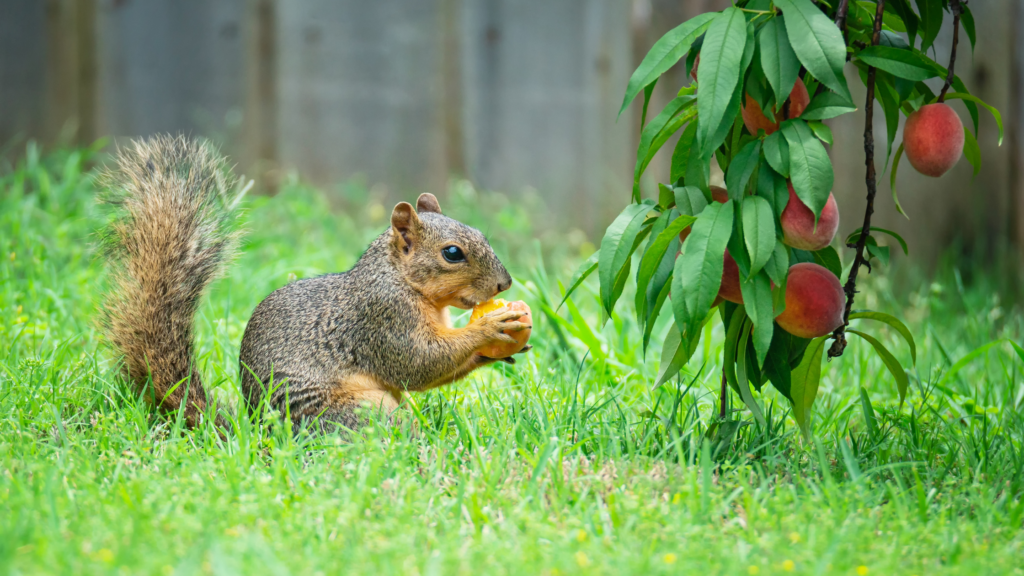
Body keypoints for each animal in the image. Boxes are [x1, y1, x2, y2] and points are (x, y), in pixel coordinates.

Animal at [97, 134, 528, 430]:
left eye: (481, 233)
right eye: (452, 253)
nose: (505, 284)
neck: (401, 280)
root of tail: (261, 435)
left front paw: (497, 350)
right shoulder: (382, 318)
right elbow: (418, 362)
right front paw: (492, 326)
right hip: (359, 412)